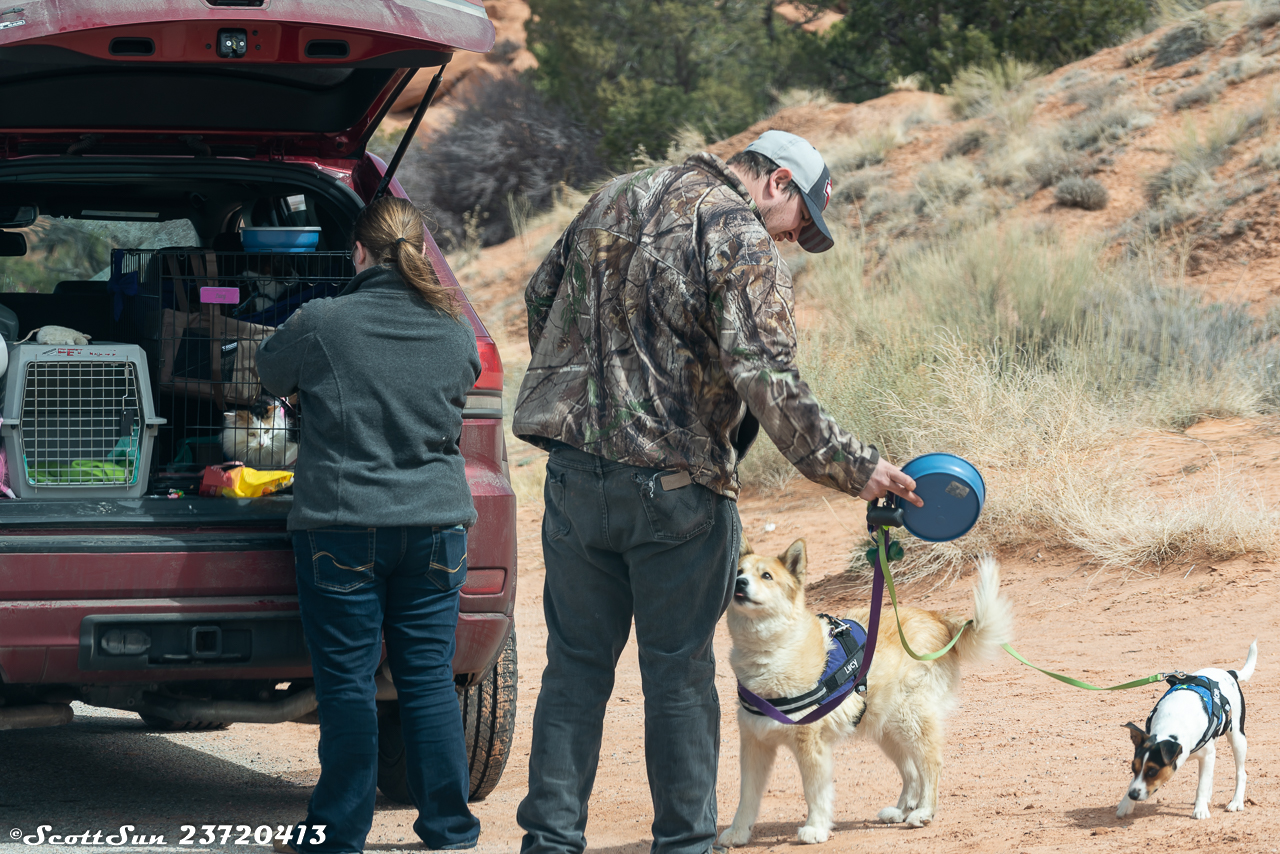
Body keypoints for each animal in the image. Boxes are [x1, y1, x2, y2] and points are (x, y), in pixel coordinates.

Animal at [721, 537, 1008, 845]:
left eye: (766, 576)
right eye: (739, 572)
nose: (739, 583)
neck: (773, 652)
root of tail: (937, 617)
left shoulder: (810, 743)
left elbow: (815, 791)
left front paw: (816, 828)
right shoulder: (754, 743)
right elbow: (747, 797)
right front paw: (737, 833)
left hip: (910, 720)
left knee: (930, 764)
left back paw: (924, 812)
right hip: (887, 729)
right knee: (911, 771)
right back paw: (901, 811)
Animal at [1116, 640, 1254, 819]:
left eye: (1152, 771)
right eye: (1133, 767)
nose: (1133, 795)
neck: (1172, 723)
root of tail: (1229, 673)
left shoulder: (1207, 755)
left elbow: (1201, 785)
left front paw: (1200, 810)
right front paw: (1126, 804)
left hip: (1237, 736)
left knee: (1241, 773)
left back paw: (1236, 802)